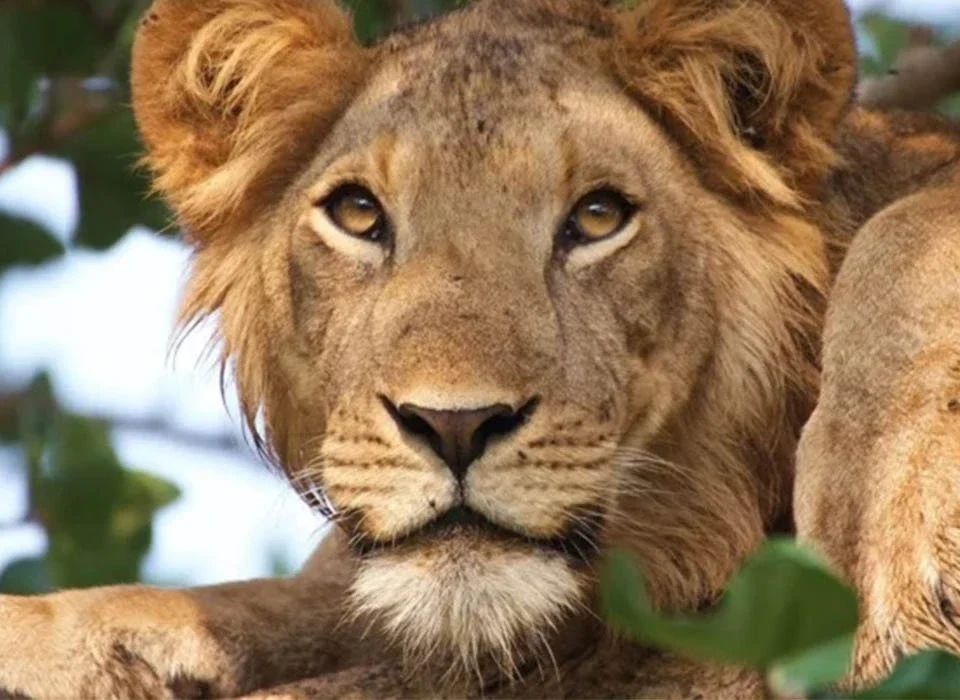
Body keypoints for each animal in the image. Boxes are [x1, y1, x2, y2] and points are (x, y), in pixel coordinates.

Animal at [1, 0, 959, 697]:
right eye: (358, 214)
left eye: (598, 218)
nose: (454, 426)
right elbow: (251, 606)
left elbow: (909, 237)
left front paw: (881, 545)